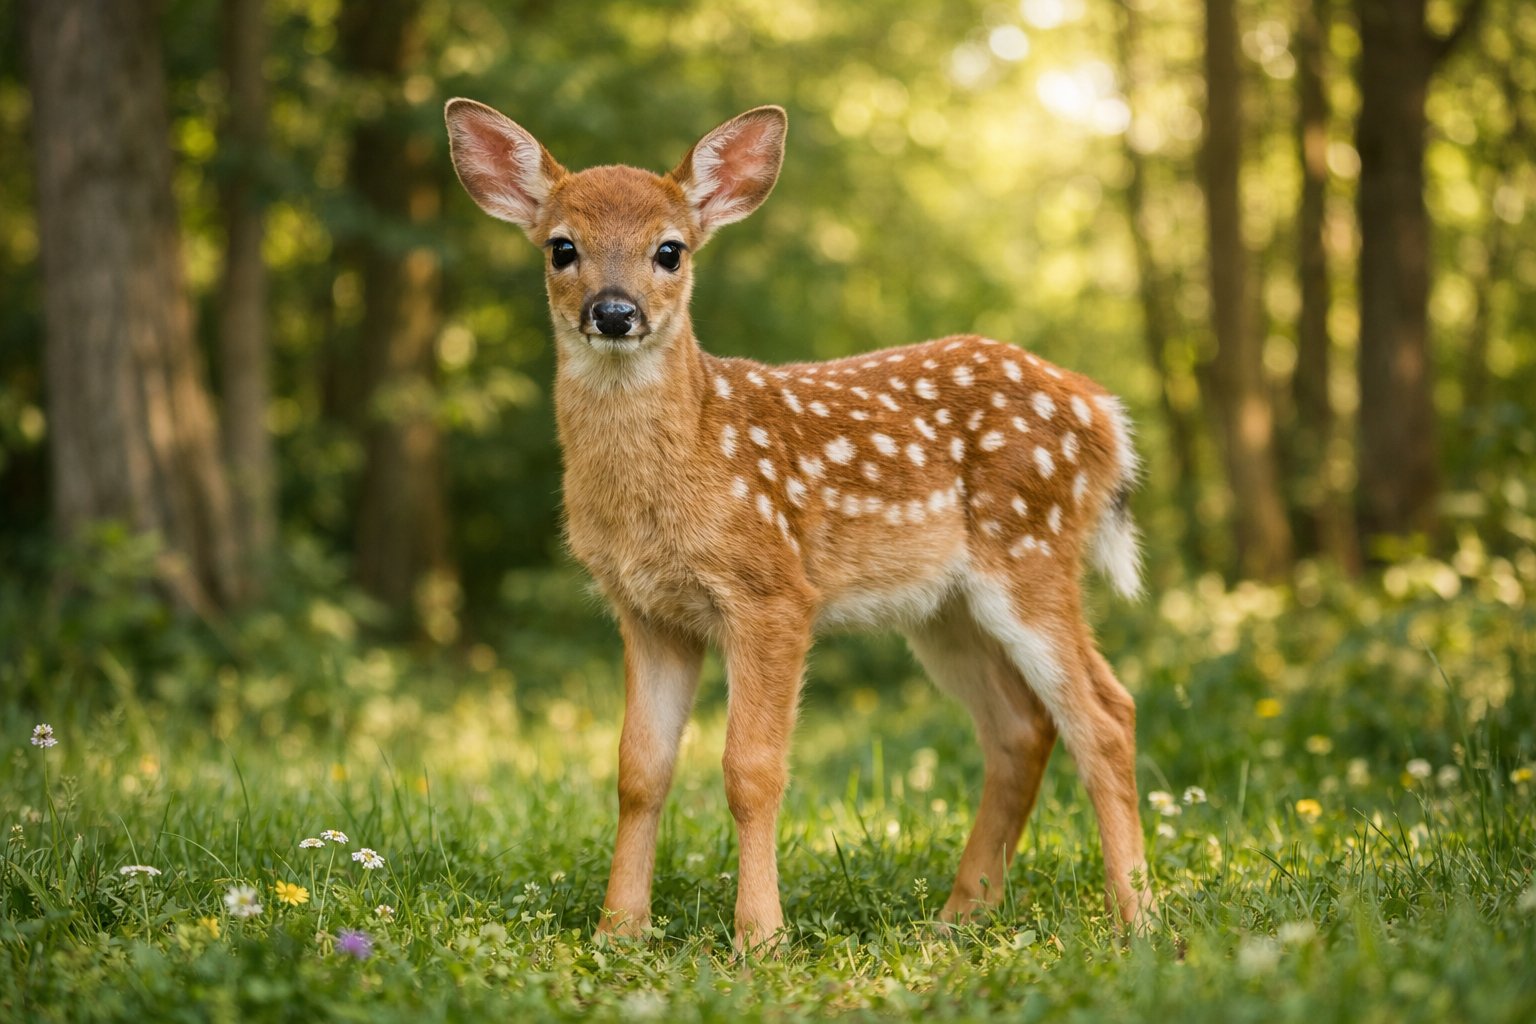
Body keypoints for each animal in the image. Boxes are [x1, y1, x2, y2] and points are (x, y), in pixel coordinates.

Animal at [444, 99, 1154, 950]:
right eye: (562, 248)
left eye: (670, 251)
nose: (613, 313)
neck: (685, 463)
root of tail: (1105, 414)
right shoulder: (647, 610)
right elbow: (639, 771)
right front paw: (619, 930)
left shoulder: (772, 590)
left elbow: (751, 770)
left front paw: (759, 936)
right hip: (943, 609)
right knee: (1021, 728)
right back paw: (958, 916)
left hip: (1031, 552)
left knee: (1105, 713)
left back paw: (1137, 917)